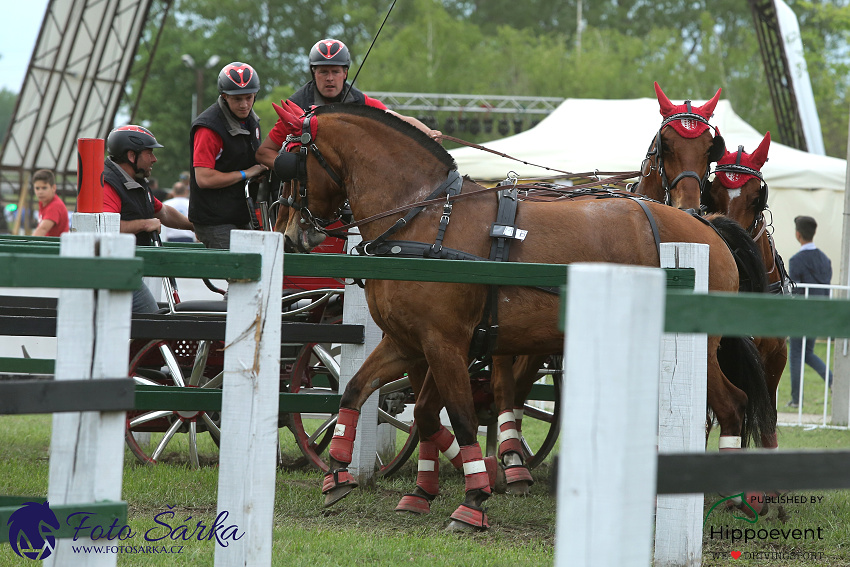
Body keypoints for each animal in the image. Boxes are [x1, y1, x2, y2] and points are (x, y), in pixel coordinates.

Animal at [268, 102, 772, 532]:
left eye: (291, 163)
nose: (290, 233)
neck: (426, 219)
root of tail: (705, 225)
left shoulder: (445, 344)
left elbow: (460, 416)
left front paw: (473, 501)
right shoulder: (409, 342)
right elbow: (364, 393)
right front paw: (339, 474)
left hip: (695, 348)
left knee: (731, 405)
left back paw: (727, 495)